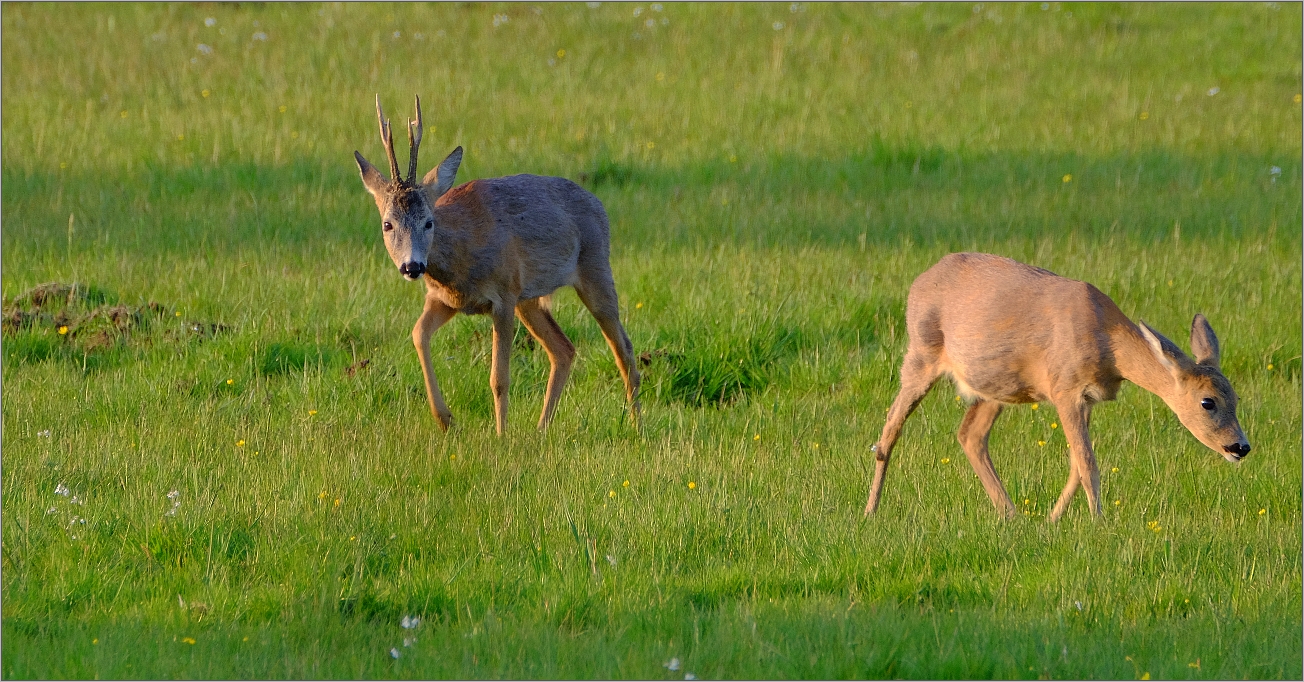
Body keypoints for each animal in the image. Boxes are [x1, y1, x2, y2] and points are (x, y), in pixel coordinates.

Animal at [357, 94, 641, 438]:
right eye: (388, 224)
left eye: (428, 222)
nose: (412, 266)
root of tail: (599, 204)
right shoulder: (445, 299)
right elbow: (418, 334)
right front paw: (446, 419)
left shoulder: (503, 295)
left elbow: (499, 378)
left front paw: (501, 435)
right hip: (529, 299)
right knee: (563, 349)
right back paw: (541, 429)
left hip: (595, 266)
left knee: (624, 349)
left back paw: (637, 427)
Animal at [860, 252, 1246, 521]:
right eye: (1208, 402)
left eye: (1237, 398)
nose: (1241, 447)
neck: (1108, 343)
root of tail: (920, 281)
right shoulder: (1065, 387)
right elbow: (1088, 463)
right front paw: (1099, 523)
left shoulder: (1087, 398)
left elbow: (1077, 464)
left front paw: (1052, 520)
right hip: (921, 353)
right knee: (889, 431)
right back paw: (870, 512)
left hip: (995, 386)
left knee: (970, 435)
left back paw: (1012, 515)